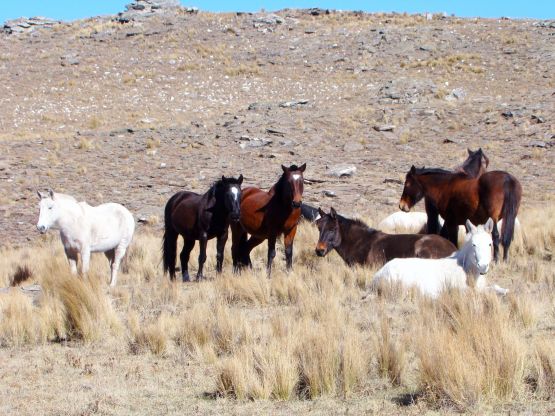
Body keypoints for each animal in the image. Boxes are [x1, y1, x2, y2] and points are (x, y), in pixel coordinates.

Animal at [374, 219, 508, 298]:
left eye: (489, 244)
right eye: (473, 244)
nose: (483, 267)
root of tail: (377, 276)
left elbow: (498, 288)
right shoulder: (461, 290)